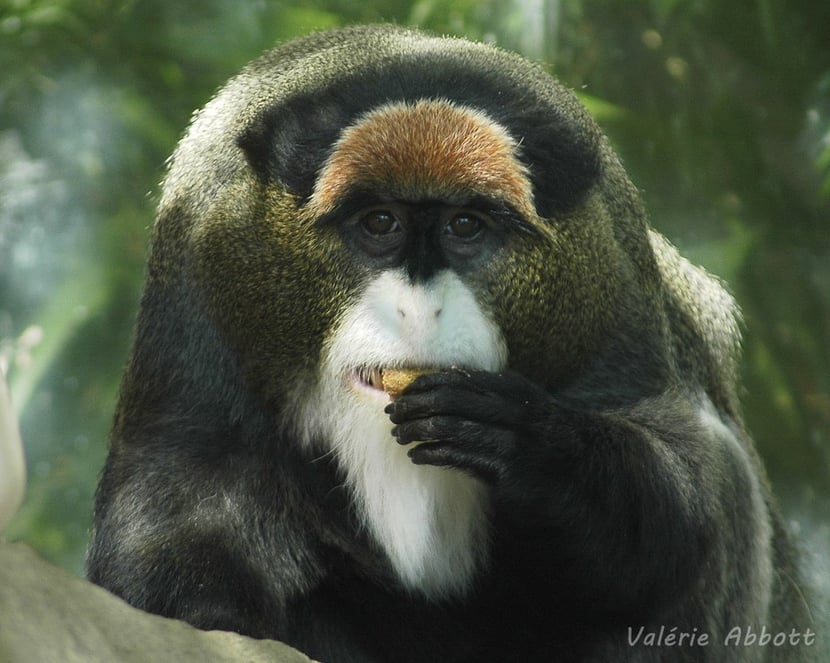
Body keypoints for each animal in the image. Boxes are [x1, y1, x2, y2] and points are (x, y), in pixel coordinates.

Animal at [86, 24, 816, 662]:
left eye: (466, 225)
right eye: (379, 221)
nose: (420, 309)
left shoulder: (615, 296)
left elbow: (686, 488)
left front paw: (531, 443)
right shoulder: (199, 278)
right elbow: (180, 499)